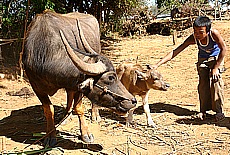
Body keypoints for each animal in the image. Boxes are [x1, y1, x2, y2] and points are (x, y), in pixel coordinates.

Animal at [22, 10, 137, 147]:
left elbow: (79, 108)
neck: (44, 53)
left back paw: (94, 115)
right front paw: (50, 135)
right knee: (69, 96)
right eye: (110, 77)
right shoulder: (37, 87)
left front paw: (85, 134)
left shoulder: (78, 87)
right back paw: (66, 117)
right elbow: (49, 110)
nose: (133, 101)